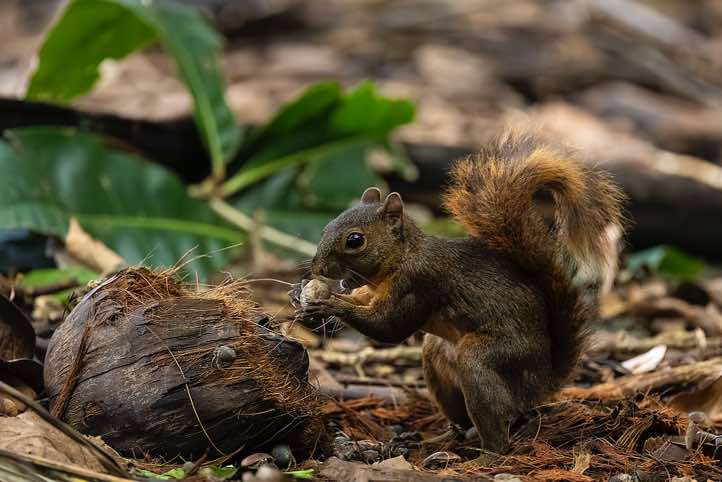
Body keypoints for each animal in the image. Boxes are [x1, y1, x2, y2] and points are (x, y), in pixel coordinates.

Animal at [295, 131, 624, 458]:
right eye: (326, 226)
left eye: (355, 240)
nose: (317, 267)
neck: (401, 258)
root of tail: (543, 382)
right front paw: (304, 296)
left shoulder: (419, 282)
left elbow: (389, 327)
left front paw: (328, 304)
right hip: (438, 358)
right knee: (464, 418)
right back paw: (440, 440)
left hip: (488, 360)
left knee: (498, 429)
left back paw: (485, 456)